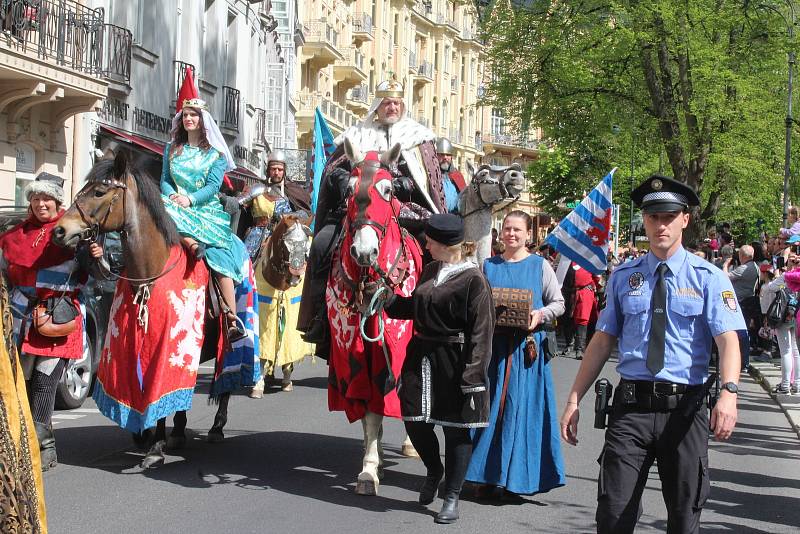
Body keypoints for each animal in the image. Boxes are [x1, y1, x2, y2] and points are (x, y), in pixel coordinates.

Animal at [51, 152, 239, 468]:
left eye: (99, 192)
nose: (59, 230)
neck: (150, 272)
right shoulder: (129, 347)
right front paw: (145, 434)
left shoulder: (167, 347)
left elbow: (158, 390)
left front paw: (155, 447)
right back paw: (179, 432)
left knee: (225, 382)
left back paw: (216, 426)